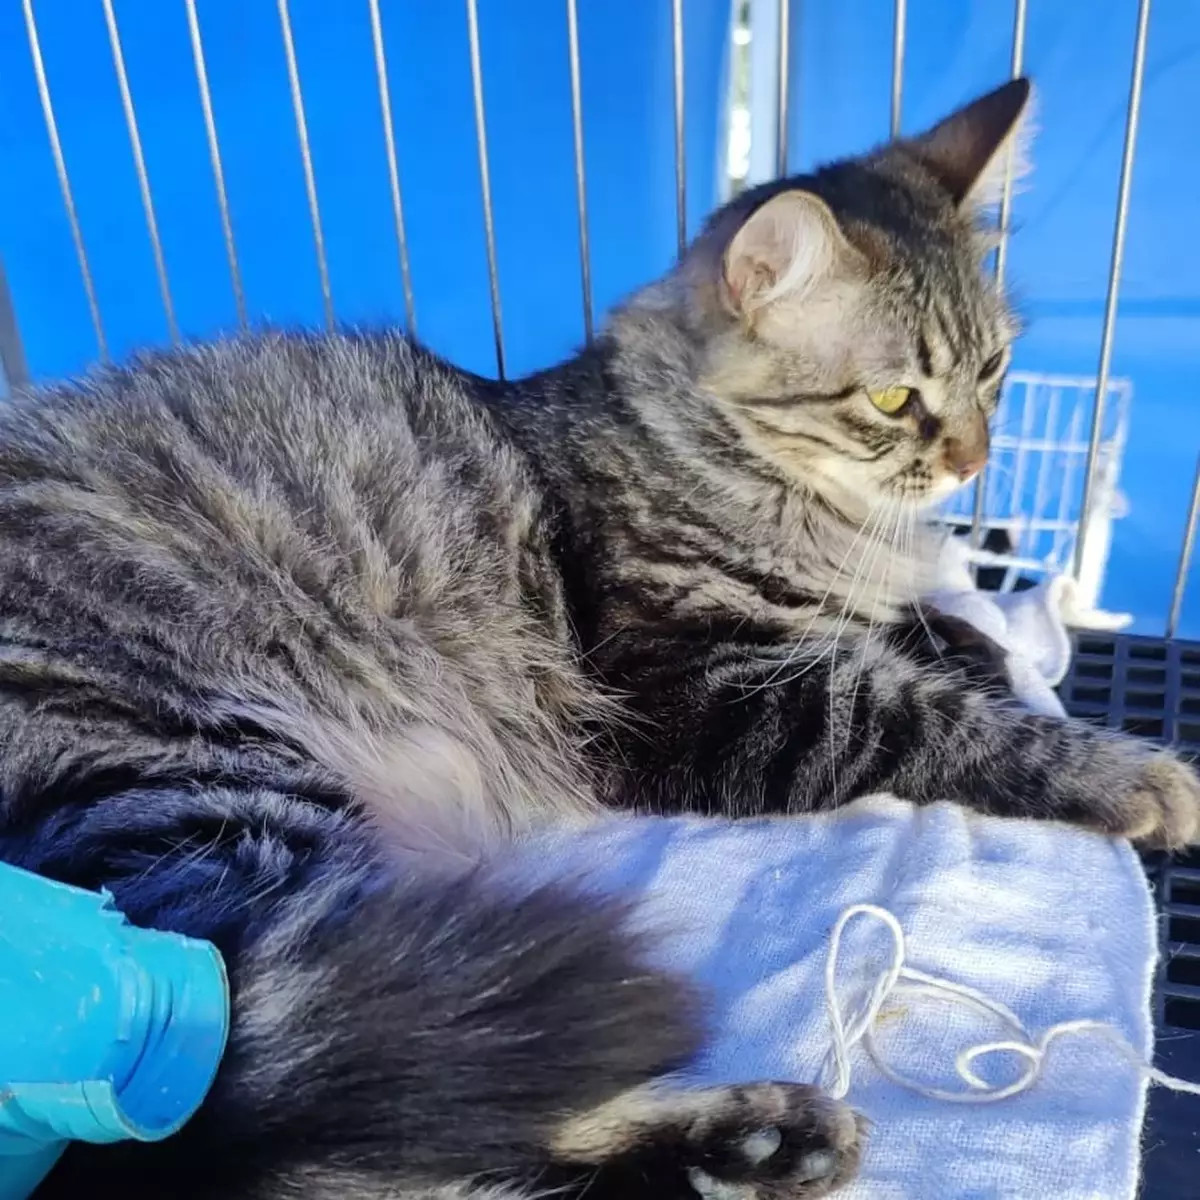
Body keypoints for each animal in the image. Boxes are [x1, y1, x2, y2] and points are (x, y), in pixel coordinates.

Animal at [3, 78, 1196, 1200]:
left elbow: (920, 630)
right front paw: (1136, 776)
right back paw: (757, 1137)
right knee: (338, 1117)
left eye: (994, 373)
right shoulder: (705, 694)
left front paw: (977, 643)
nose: (972, 460)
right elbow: (926, 715)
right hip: (225, 810)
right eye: (896, 398)